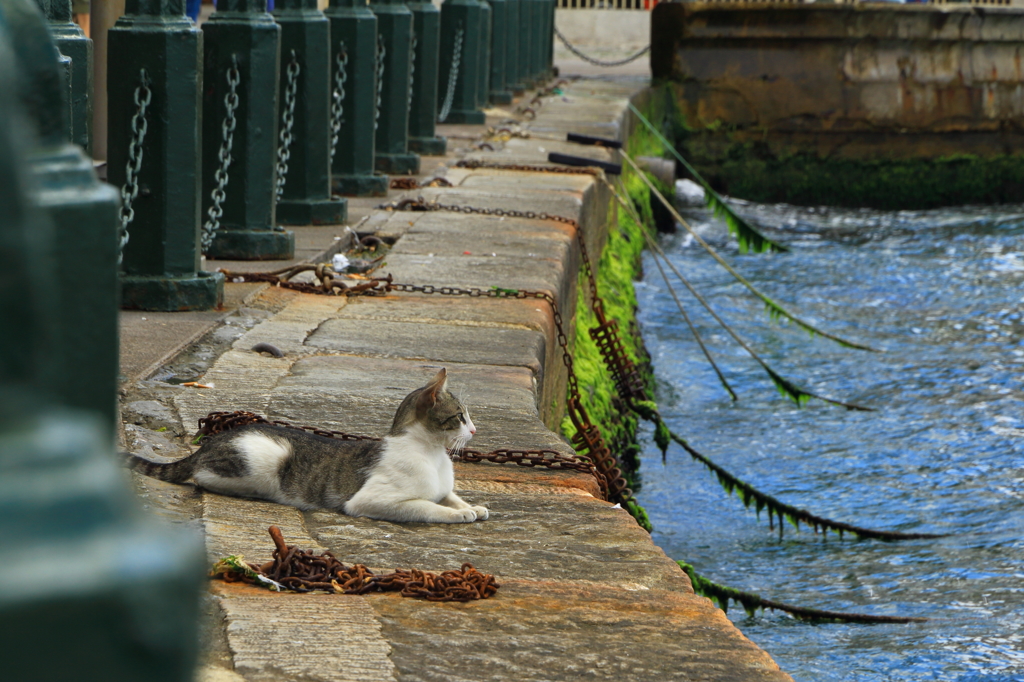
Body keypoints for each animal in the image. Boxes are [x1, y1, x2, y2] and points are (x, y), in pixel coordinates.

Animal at [125, 366, 489, 520]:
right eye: (460, 416)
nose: (474, 430)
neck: (432, 453)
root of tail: (211, 441)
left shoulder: (444, 487)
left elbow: (450, 496)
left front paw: (471, 507)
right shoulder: (368, 501)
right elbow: (427, 506)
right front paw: (458, 515)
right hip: (270, 456)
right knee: (202, 476)